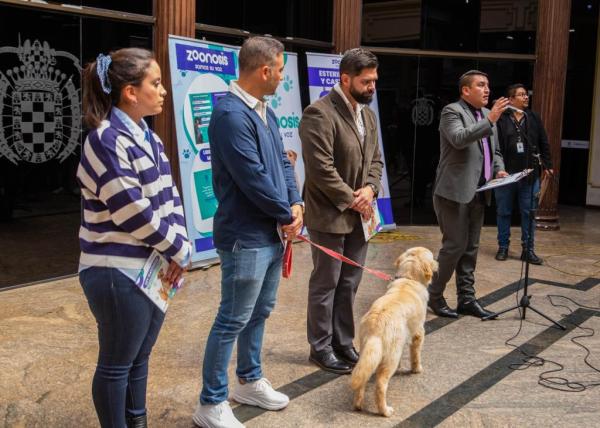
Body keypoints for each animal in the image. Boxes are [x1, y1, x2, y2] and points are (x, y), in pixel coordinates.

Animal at [350, 246, 438, 416]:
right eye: (432, 257)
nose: (437, 263)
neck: (408, 279)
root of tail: (376, 327)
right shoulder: (418, 332)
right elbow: (415, 355)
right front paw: (416, 369)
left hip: (366, 352)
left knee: (363, 378)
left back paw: (358, 404)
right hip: (391, 356)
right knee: (380, 384)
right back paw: (385, 411)